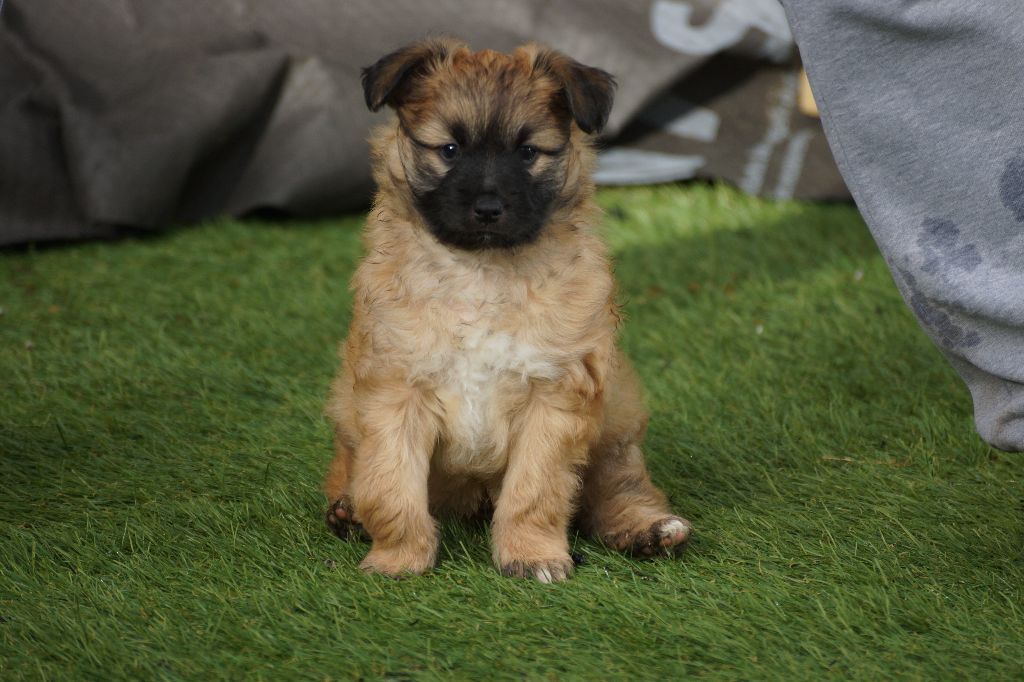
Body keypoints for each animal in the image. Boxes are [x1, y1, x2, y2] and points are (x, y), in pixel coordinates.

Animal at [323, 38, 692, 577]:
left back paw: (649, 530)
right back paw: (346, 511)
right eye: (449, 149)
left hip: (616, 422)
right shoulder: (395, 391)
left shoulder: (555, 395)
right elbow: (390, 486)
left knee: (617, 488)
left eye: (528, 152)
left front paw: (531, 554)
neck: (482, 273)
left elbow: (535, 489)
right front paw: (398, 557)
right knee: (349, 473)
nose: (488, 210)